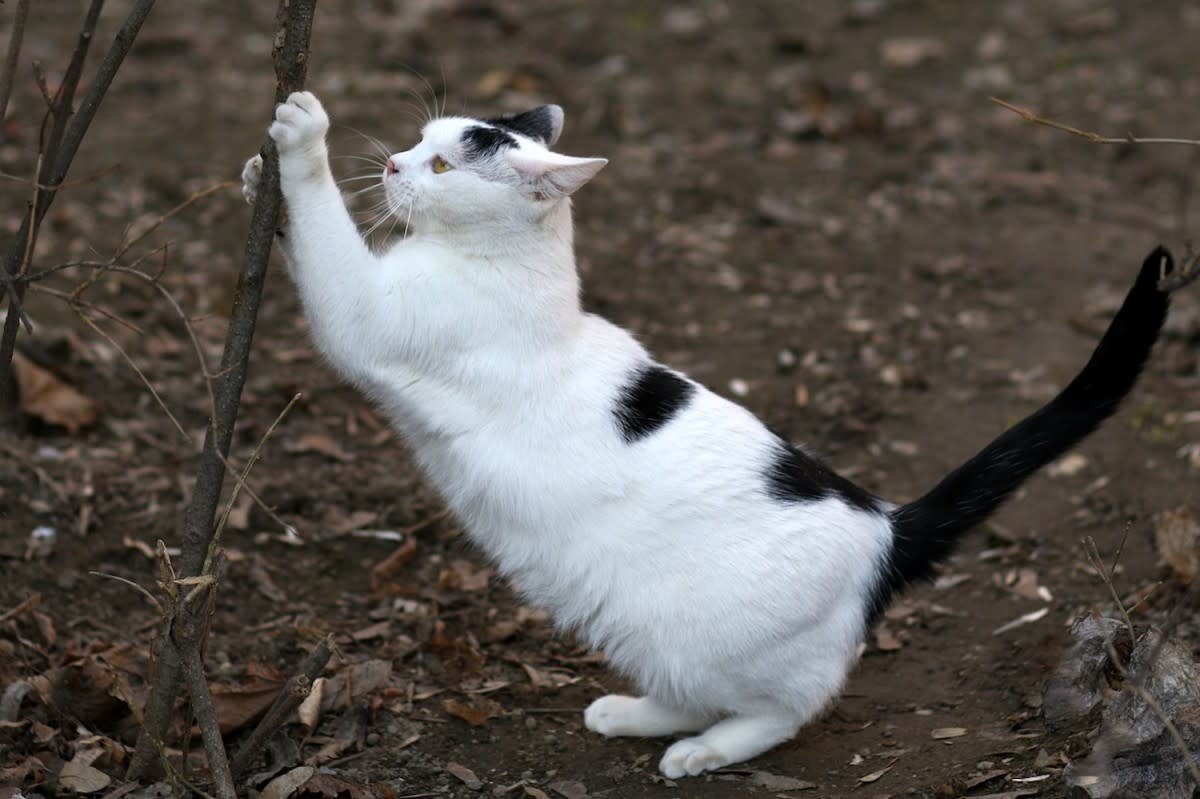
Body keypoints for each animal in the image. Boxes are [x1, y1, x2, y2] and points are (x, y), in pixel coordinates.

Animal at [241, 89, 1171, 772]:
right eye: (418, 140)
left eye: (440, 163)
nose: (392, 162)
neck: (514, 269)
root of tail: (886, 523)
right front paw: (257, 178)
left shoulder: (362, 320)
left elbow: (327, 237)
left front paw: (298, 137)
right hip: (652, 632)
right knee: (689, 687)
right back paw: (631, 713)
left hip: (722, 643)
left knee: (787, 707)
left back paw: (704, 751)